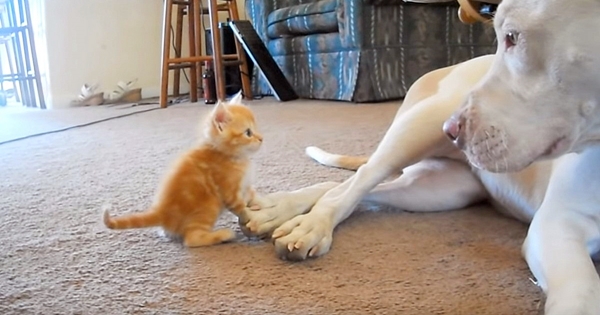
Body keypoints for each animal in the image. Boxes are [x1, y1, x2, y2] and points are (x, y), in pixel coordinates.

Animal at [103, 94, 262, 247]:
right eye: (248, 133)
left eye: (256, 128)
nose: (261, 138)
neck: (231, 156)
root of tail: (162, 212)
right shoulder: (229, 192)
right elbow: (242, 208)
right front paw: (253, 220)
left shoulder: (245, 186)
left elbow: (252, 195)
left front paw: (259, 203)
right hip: (209, 206)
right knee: (192, 239)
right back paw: (223, 235)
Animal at [239, 1, 600, 314]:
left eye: (512, 36)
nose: (453, 131)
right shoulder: (554, 226)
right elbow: (582, 292)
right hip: (419, 128)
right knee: (356, 183)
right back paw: (309, 225)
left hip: (443, 189)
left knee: (347, 188)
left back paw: (278, 210)